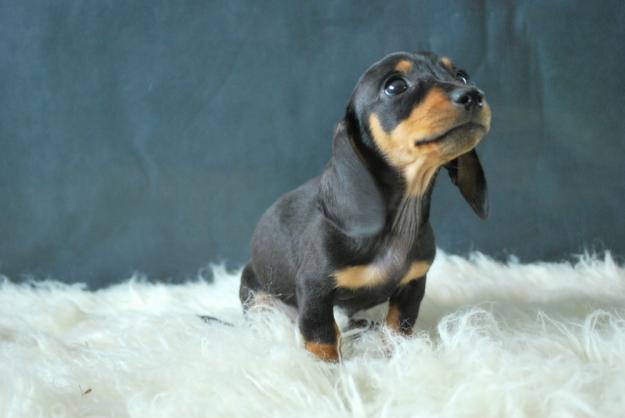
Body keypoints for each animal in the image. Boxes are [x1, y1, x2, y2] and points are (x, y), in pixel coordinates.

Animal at [241, 51, 490, 360]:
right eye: (395, 86)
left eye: (462, 76)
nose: (473, 95)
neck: (399, 222)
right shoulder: (315, 290)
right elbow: (321, 337)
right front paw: (327, 371)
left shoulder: (413, 285)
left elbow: (398, 327)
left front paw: (398, 356)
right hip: (255, 291)